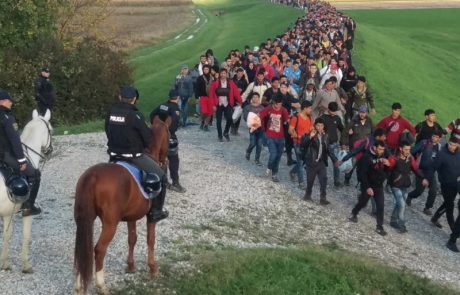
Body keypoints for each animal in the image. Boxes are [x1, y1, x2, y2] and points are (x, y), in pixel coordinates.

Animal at [0, 110, 52, 274]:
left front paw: (4, 263)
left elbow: (7, 235)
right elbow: (26, 236)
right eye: (51, 129)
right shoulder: (26, 214)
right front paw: (25, 264)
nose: (50, 151)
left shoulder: (7, 213)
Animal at [73, 117, 171, 294]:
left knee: (81, 250)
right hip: (110, 224)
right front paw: (153, 268)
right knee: (99, 250)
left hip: (83, 220)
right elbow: (150, 240)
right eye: (169, 134)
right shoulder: (150, 218)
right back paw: (101, 285)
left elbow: (132, 239)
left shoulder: (132, 216)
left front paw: (131, 266)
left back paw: (78, 287)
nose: (166, 159)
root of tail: (92, 175)